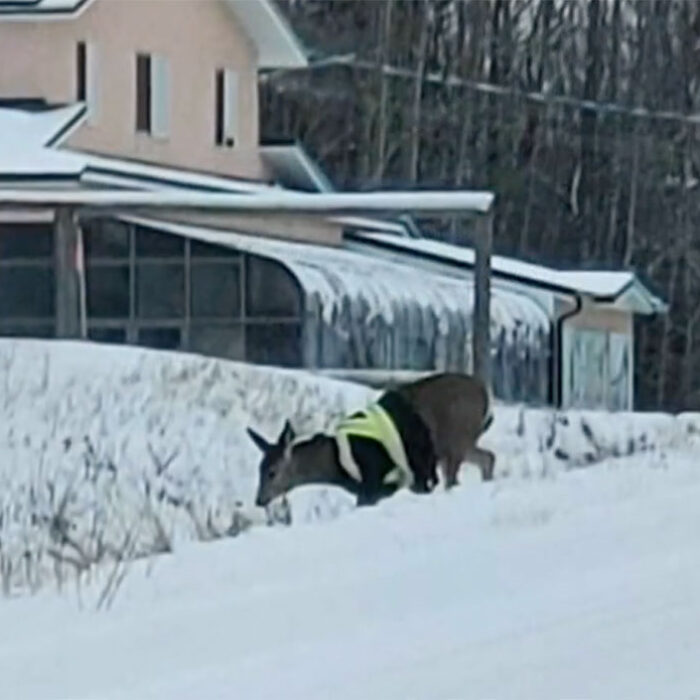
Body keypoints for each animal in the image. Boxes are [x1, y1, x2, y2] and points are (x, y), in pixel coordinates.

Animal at [247, 372, 495, 509]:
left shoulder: (376, 479)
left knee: (456, 479)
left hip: (455, 437)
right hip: (455, 444)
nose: (259, 500)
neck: (336, 463)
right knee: (488, 458)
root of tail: (485, 394)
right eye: (259, 469)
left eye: (272, 472)